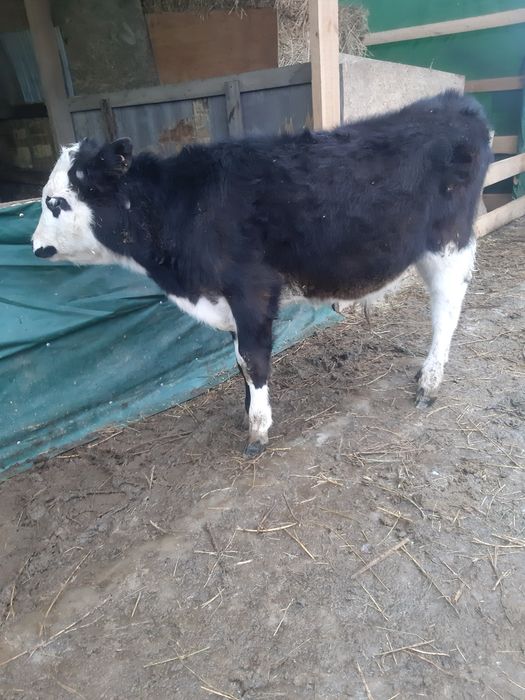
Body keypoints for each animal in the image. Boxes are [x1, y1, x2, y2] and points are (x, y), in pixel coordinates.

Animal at [32, 90, 492, 457]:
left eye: (56, 202)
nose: (34, 246)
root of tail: (455, 101)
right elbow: (238, 360)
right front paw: (247, 413)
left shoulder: (251, 288)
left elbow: (253, 360)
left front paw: (258, 430)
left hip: (449, 243)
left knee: (446, 312)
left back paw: (429, 382)